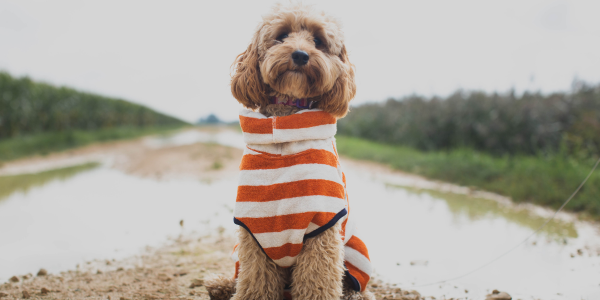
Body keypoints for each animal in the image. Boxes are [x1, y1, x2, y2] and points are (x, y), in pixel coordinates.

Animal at [206, 4, 376, 300]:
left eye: (318, 40)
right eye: (282, 35)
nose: (300, 55)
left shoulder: (322, 227)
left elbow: (317, 281)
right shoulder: (253, 230)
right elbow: (254, 281)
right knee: (237, 276)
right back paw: (220, 285)